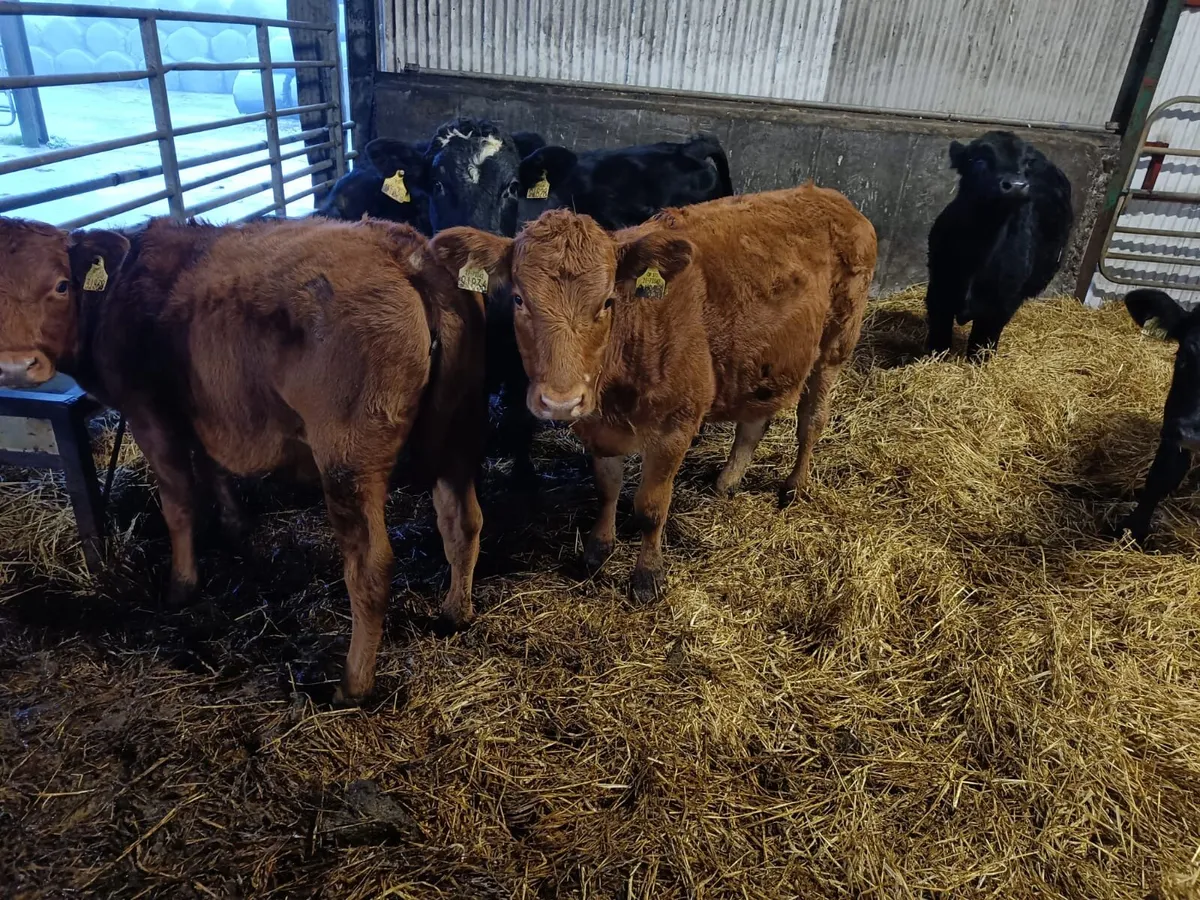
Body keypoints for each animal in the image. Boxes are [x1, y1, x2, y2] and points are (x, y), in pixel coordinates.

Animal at [0, 215, 487, 703]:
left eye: (61, 285)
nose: (16, 366)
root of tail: (405, 250)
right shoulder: (207, 412)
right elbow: (213, 468)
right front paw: (235, 525)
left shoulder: (150, 415)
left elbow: (178, 504)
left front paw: (181, 585)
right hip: (457, 431)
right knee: (462, 522)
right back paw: (454, 612)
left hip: (347, 459)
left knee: (370, 568)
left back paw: (352, 683)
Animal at [430, 186, 876, 601]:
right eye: (519, 298)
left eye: (607, 301)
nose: (561, 401)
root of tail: (830, 196)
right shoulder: (597, 428)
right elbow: (607, 487)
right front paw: (598, 549)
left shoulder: (675, 427)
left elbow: (650, 507)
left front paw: (647, 576)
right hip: (760, 358)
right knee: (753, 422)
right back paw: (727, 481)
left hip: (836, 343)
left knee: (811, 420)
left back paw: (794, 486)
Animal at [925, 130, 1074, 358]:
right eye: (979, 160)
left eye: (1025, 164)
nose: (1017, 185)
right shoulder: (939, 288)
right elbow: (939, 337)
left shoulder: (1002, 304)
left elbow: (983, 342)